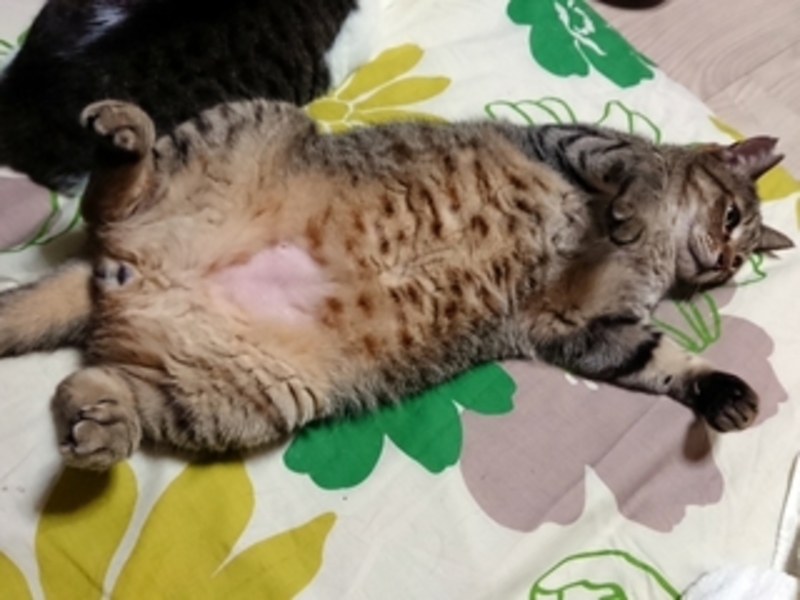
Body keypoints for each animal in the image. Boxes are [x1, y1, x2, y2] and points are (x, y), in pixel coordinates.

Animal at [0, 99, 792, 470]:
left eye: (738, 253)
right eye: (730, 217)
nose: (721, 264)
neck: (656, 262)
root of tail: (128, 269)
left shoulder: (590, 328)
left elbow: (664, 362)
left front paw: (721, 391)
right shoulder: (571, 141)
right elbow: (625, 168)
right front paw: (633, 206)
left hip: (243, 395)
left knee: (93, 384)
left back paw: (101, 424)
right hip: (250, 122)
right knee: (106, 203)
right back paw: (124, 139)